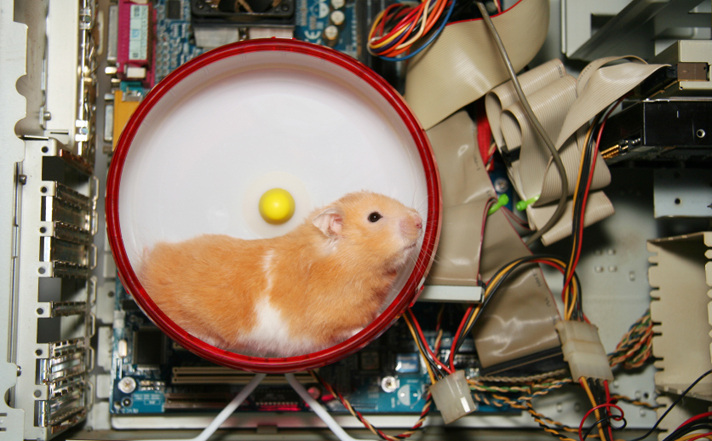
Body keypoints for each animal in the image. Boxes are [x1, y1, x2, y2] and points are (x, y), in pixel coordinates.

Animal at [139, 191, 423, 357]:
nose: (421, 221)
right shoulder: (334, 321)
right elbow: (353, 329)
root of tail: (144, 271)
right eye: (374, 217)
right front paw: (373, 327)